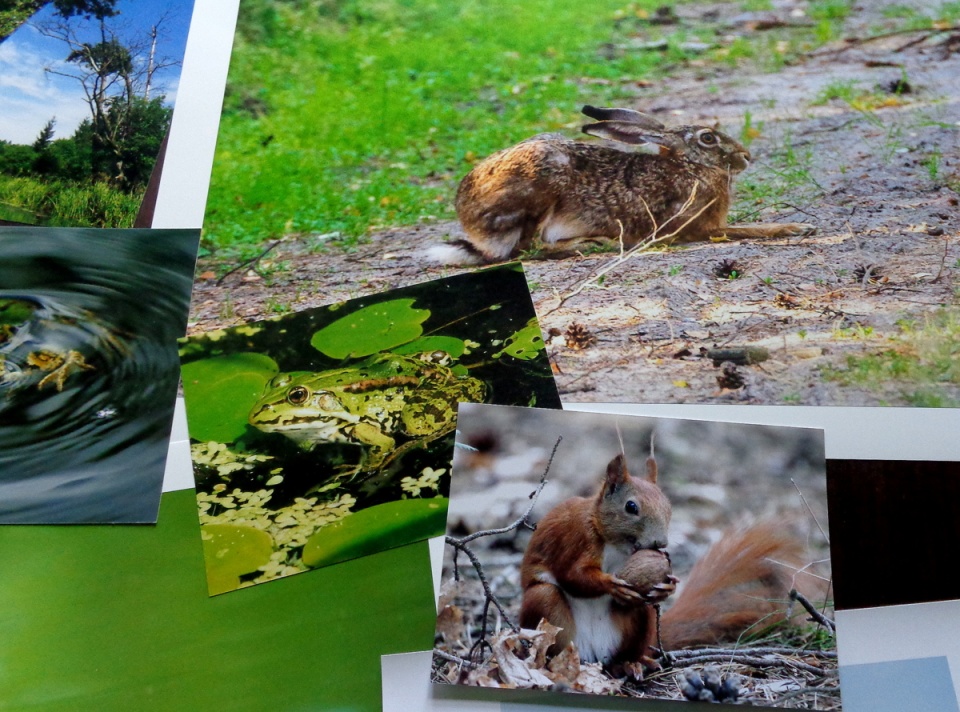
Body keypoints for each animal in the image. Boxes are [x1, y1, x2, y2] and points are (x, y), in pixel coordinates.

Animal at [520, 448, 812, 676]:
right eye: (631, 507)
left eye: (669, 506)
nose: (661, 544)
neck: (615, 544)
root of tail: (592, 654)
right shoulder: (575, 538)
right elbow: (572, 575)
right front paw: (612, 584)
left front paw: (669, 586)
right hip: (548, 611)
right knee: (549, 609)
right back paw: (551, 662)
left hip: (639, 623)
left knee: (635, 629)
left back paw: (631, 664)